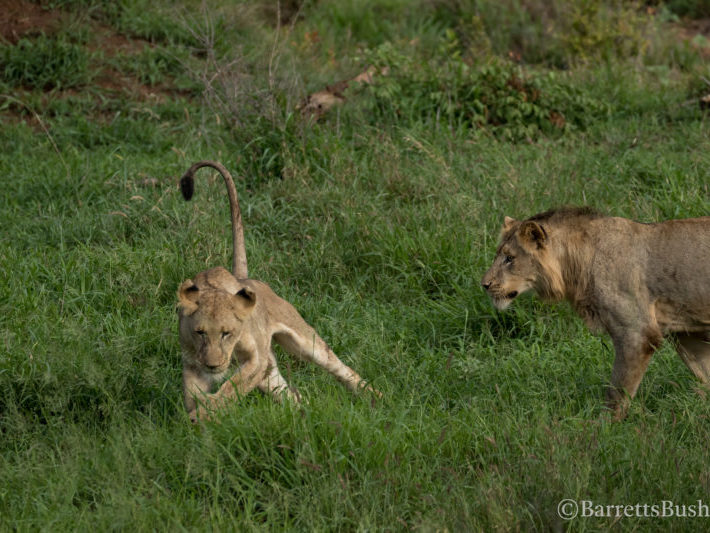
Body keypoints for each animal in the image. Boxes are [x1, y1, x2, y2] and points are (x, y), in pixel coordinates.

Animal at [177, 160, 380, 422]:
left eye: (226, 333)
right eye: (200, 332)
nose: (213, 365)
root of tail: (244, 277)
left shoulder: (257, 359)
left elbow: (232, 388)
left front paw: (205, 412)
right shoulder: (192, 361)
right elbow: (193, 392)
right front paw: (198, 414)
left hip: (305, 342)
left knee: (341, 368)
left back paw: (378, 399)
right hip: (270, 375)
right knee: (292, 396)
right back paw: (306, 417)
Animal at [481, 206, 710, 419]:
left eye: (509, 258)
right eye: (498, 255)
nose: (484, 284)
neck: (577, 264)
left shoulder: (637, 333)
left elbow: (616, 393)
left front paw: (603, 428)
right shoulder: (686, 334)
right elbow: (704, 373)